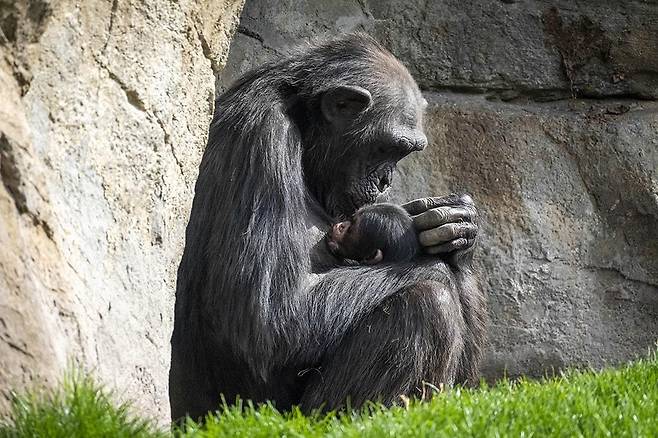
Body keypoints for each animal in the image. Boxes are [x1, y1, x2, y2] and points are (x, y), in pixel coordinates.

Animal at [168, 34, 486, 420]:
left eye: (404, 153)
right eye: (387, 148)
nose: (386, 180)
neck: (304, 131)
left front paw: (457, 225)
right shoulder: (261, 137)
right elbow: (270, 318)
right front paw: (436, 264)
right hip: (282, 414)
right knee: (427, 303)